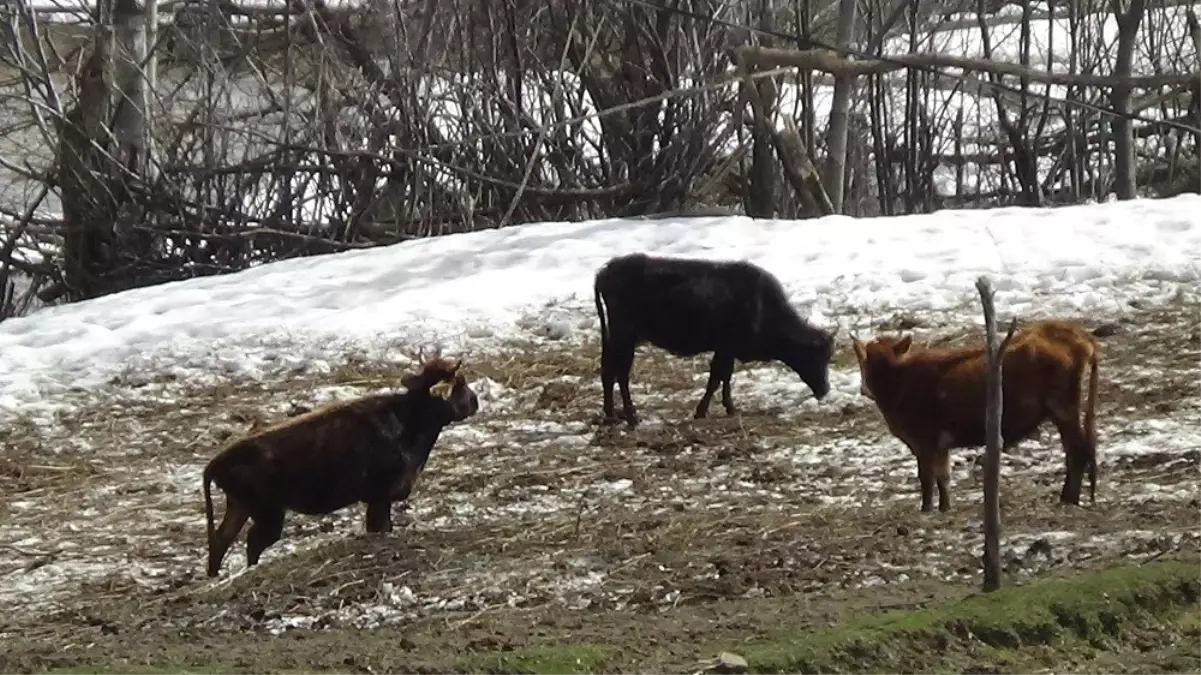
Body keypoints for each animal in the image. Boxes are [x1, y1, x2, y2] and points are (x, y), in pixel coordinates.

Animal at [201, 355, 477, 576]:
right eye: (459, 382)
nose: (475, 402)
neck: (409, 416)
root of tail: (217, 462)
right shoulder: (379, 496)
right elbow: (380, 527)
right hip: (267, 514)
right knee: (251, 542)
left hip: (240, 508)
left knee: (220, 542)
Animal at [590, 252, 835, 425]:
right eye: (816, 357)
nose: (825, 389)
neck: (761, 306)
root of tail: (604, 272)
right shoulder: (726, 348)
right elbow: (717, 378)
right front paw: (707, 411)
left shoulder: (725, 350)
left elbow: (723, 377)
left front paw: (727, 408)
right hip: (625, 338)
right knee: (620, 373)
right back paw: (632, 417)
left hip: (614, 338)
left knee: (608, 372)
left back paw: (611, 415)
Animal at [850, 319, 1100, 509]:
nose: (864, 389)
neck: (898, 380)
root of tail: (1075, 333)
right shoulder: (940, 445)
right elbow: (943, 477)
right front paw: (945, 508)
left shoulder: (924, 441)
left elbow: (927, 478)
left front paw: (926, 509)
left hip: (1063, 408)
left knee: (1077, 451)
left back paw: (1068, 499)